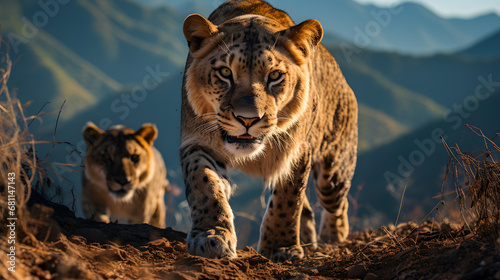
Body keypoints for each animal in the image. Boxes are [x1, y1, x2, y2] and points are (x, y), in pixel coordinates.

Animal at [180, 0, 356, 262]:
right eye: (225, 73)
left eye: (274, 76)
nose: (248, 119)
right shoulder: (197, 142)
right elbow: (205, 185)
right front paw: (210, 236)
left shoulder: (296, 151)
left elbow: (288, 199)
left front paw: (280, 247)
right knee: (309, 209)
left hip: (333, 175)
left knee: (337, 204)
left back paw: (333, 238)